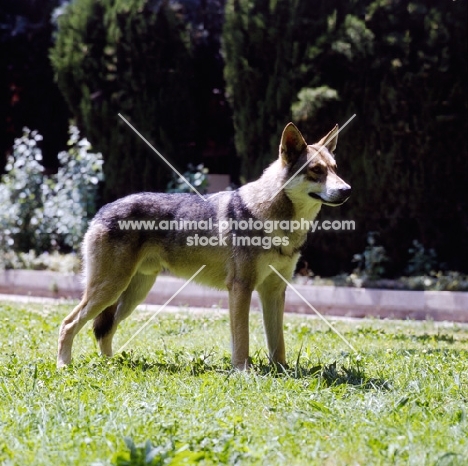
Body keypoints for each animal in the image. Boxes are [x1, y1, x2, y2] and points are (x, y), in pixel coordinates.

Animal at [56, 122, 350, 370]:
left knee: (104, 331)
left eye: (335, 168)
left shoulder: (274, 291)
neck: (279, 221)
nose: (347, 190)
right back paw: (63, 366)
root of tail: (101, 210)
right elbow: (241, 340)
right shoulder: (240, 288)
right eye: (316, 171)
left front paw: (283, 372)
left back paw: (110, 365)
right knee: (68, 324)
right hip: (110, 290)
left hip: (130, 295)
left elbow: (278, 344)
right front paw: (243, 372)